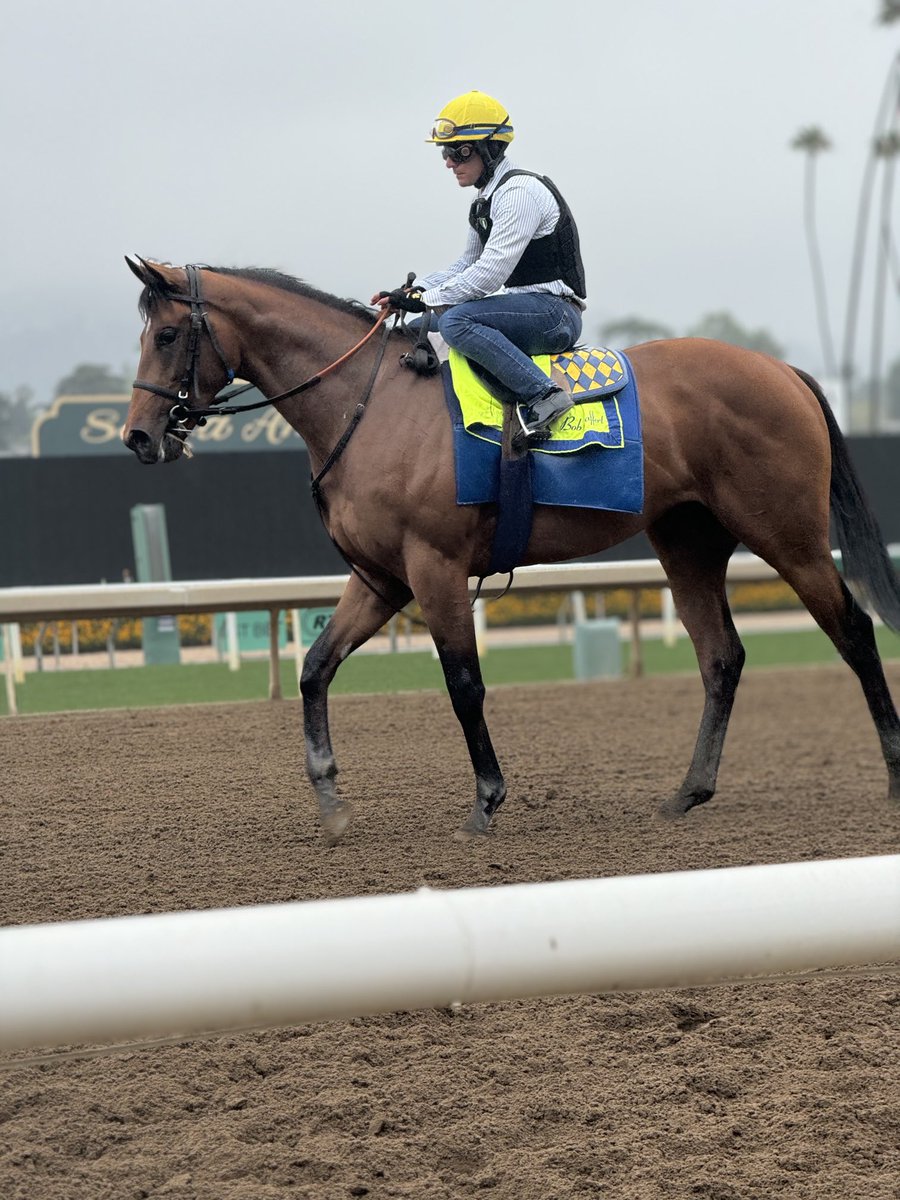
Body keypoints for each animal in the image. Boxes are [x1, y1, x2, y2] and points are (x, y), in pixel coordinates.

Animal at [121, 260, 900, 844]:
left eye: (167, 333)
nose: (137, 436)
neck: (368, 406)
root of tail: (783, 370)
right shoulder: (379, 579)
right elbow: (315, 670)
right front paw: (332, 803)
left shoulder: (433, 568)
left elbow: (464, 684)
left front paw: (486, 800)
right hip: (687, 544)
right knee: (722, 657)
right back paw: (688, 792)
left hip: (789, 537)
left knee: (853, 632)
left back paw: (892, 772)